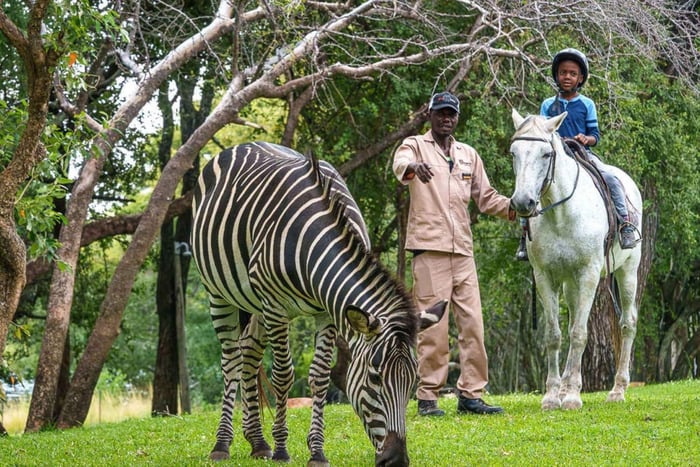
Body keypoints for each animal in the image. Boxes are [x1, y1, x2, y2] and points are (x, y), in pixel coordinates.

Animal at [508, 109, 642, 410]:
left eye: (546, 154)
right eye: (514, 152)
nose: (523, 202)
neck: (562, 214)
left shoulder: (589, 274)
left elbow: (580, 334)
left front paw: (571, 396)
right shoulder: (545, 276)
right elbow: (554, 335)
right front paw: (552, 396)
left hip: (628, 271)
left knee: (627, 323)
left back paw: (618, 390)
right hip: (570, 284)